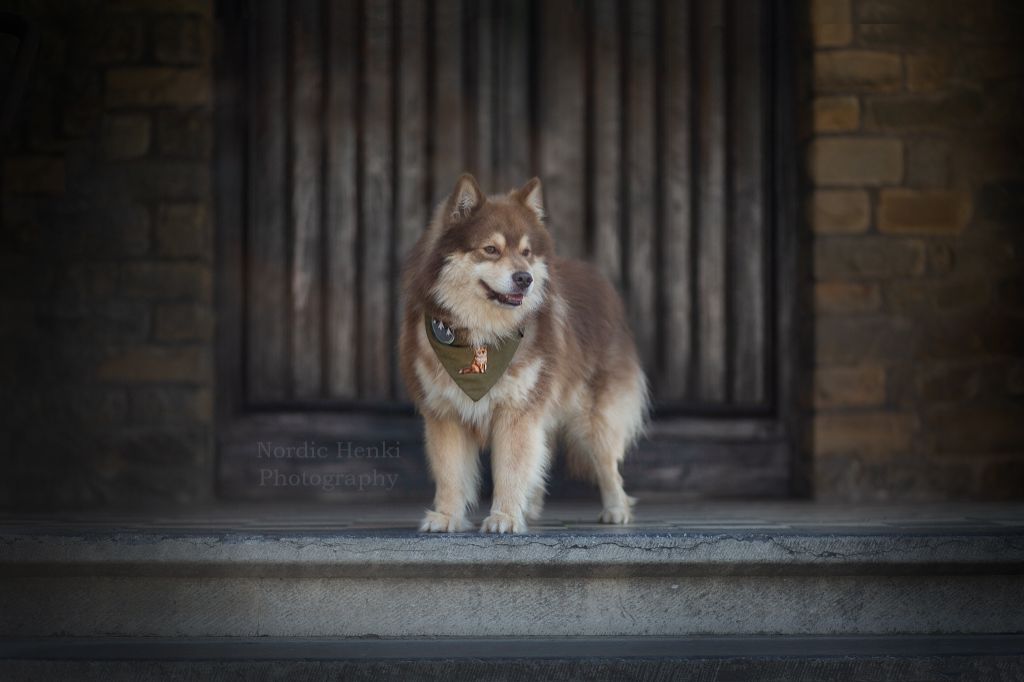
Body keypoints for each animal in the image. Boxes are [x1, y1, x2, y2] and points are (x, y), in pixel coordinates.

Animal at [399, 174, 647, 532]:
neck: (482, 335)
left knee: (607, 464)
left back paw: (616, 510)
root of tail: (602, 283)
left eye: (527, 253)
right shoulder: (444, 412)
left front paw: (503, 516)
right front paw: (446, 516)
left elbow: (511, 467)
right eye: (491, 249)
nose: (525, 278)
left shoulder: (517, 409)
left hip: (595, 418)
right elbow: (450, 473)